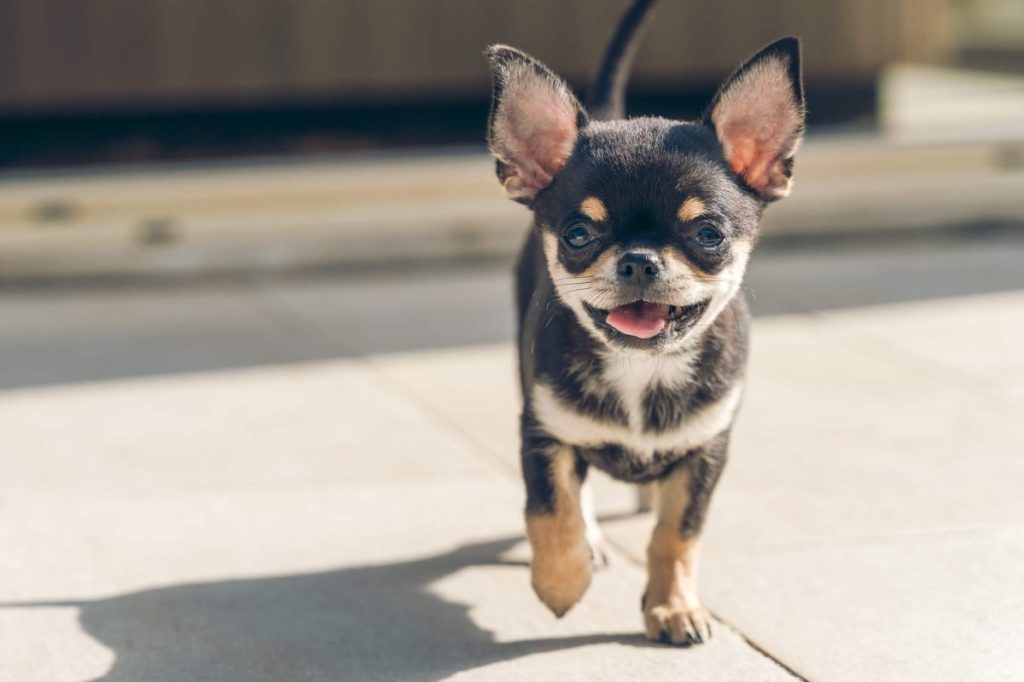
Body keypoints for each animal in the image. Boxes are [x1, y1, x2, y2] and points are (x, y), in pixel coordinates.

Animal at [483, 0, 802, 643]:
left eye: (708, 234)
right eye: (579, 233)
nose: (638, 260)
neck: (641, 369)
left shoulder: (706, 451)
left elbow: (677, 536)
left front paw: (673, 606)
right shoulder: (542, 432)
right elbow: (551, 510)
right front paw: (562, 584)